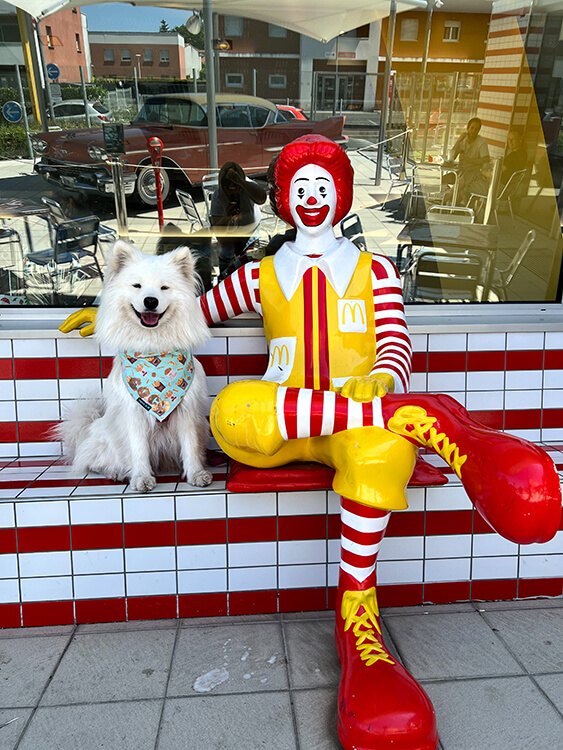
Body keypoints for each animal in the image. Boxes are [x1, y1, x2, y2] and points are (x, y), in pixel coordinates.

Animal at [57, 242, 213, 494]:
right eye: (137, 286)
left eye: (164, 287)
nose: (150, 301)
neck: (153, 350)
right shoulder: (134, 413)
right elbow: (138, 449)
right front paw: (141, 478)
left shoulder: (186, 411)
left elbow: (190, 446)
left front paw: (196, 474)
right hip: (107, 437)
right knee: (98, 461)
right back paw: (117, 473)